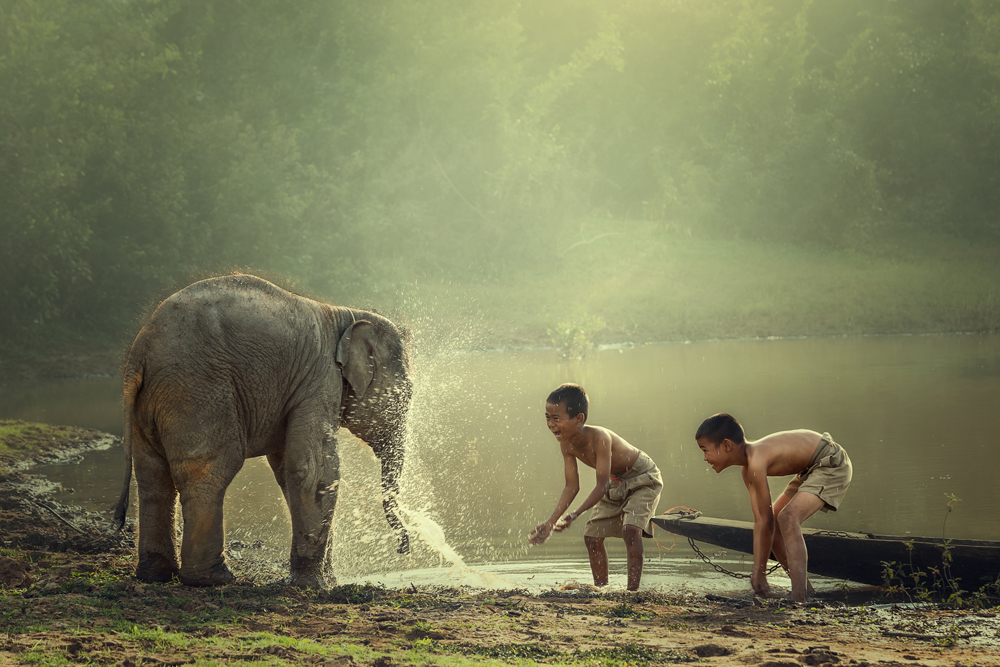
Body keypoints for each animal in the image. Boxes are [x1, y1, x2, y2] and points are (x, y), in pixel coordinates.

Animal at [115, 274, 412, 588]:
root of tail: (140, 351)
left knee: (152, 477)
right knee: (209, 471)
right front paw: (317, 585)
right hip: (197, 392)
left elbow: (287, 470)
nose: (403, 549)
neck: (346, 315)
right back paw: (212, 579)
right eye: (404, 396)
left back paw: (156, 575)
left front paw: (324, 580)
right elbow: (313, 470)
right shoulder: (320, 380)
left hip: (150, 405)